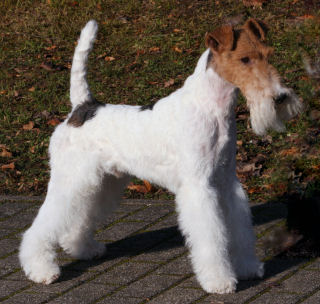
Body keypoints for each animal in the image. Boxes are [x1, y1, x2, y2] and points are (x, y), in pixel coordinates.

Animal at [18, 18, 302, 292]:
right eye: (244, 59)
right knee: (40, 226)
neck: (209, 108)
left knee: (77, 219)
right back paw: (42, 270)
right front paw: (219, 281)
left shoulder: (227, 182)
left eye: (268, 54)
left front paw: (247, 267)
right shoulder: (199, 187)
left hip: (102, 182)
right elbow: (211, 237)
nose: (280, 97)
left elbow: (239, 230)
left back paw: (84, 249)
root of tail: (82, 108)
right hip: (72, 179)